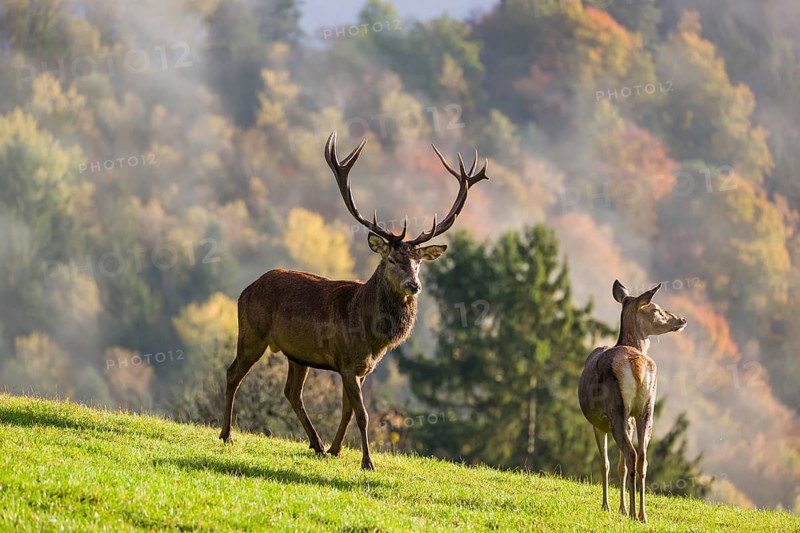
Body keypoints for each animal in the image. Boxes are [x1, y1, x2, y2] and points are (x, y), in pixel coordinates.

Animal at [219, 130, 489, 470]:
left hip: (297, 354)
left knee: (292, 392)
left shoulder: (361, 368)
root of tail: (245, 290)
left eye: (418, 262)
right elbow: (362, 414)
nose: (413, 285)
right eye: (392, 260)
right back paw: (226, 434)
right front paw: (368, 462)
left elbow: (348, 411)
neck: (372, 335)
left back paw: (317, 444)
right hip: (251, 331)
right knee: (233, 373)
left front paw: (336, 450)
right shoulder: (347, 362)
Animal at [578, 280, 687, 522]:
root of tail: (636, 366)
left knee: (631, 455)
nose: (682, 319)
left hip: (616, 410)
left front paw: (608, 506)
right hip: (647, 408)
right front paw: (622, 507)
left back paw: (635, 512)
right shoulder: (625, 421)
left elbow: (606, 464)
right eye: (656, 309)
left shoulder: (598, 423)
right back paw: (643, 514)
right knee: (642, 458)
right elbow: (619, 466)